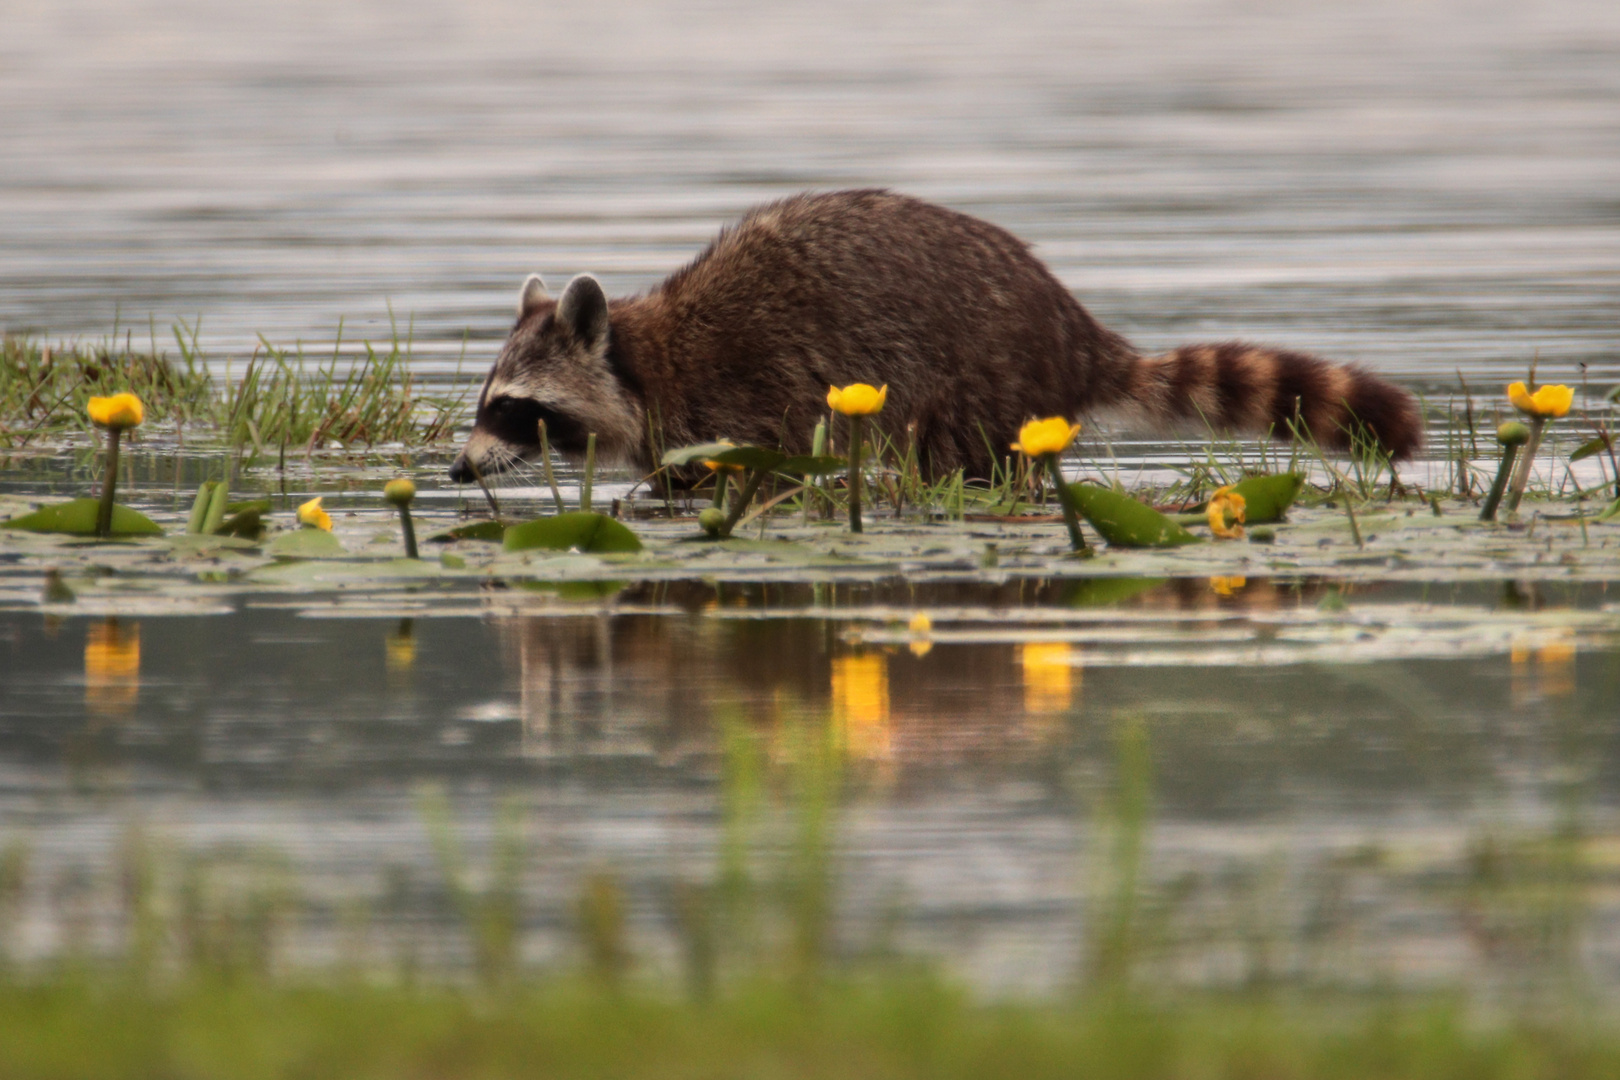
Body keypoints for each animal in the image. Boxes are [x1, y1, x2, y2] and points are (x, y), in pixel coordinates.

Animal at [443, 190, 1419, 485]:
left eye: (514, 408)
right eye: (487, 402)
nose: (455, 471)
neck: (645, 361)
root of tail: (1071, 326)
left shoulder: (742, 400)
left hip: (980, 380)